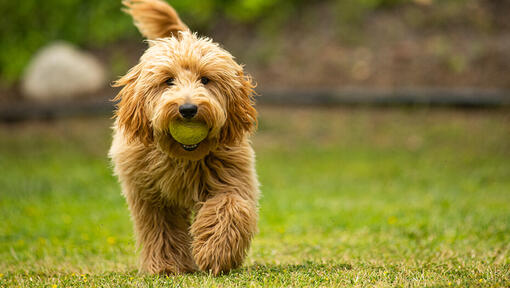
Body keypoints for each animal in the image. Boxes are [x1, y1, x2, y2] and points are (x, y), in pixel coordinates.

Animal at [108, 0, 258, 274]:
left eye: (205, 80)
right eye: (168, 81)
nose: (188, 109)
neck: (182, 157)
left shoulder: (231, 176)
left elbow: (229, 206)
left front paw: (215, 252)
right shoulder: (150, 196)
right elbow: (160, 229)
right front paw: (167, 266)